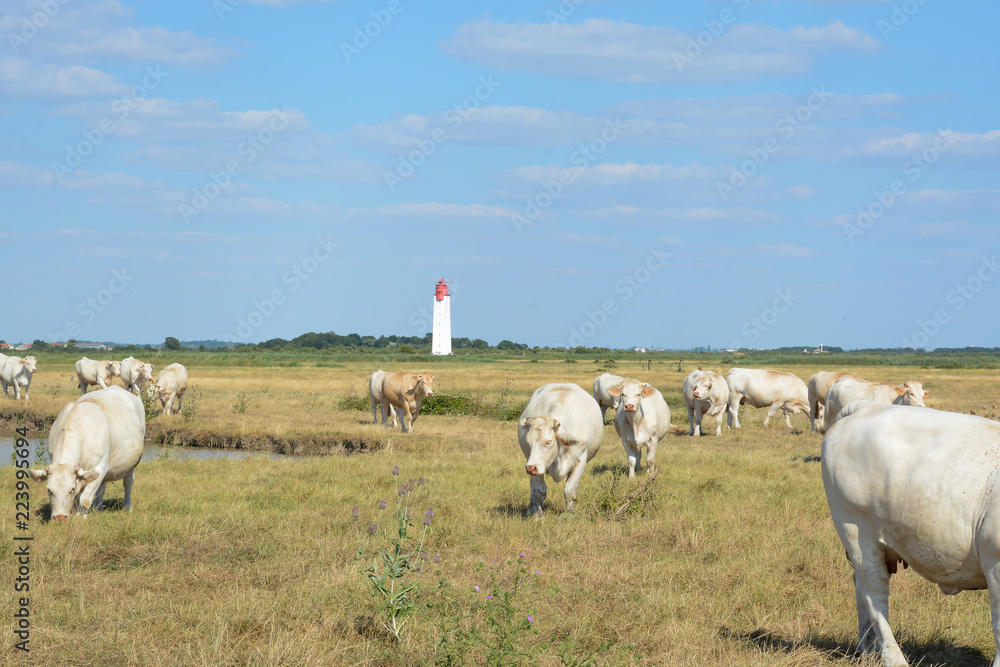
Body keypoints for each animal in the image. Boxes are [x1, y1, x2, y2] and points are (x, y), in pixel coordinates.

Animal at [27, 386, 145, 521]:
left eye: (71, 489)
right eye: (49, 490)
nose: (60, 517)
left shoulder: (100, 467)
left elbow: (84, 499)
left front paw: (80, 517)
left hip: (131, 464)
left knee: (128, 483)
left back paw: (127, 506)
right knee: (102, 488)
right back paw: (98, 509)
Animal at [518, 383, 604, 514]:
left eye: (548, 442)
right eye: (528, 442)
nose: (531, 468)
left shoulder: (580, 461)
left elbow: (570, 490)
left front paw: (568, 513)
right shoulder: (534, 463)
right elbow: (538, 490)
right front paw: (537, 513)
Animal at [822, 401, 1000, 667]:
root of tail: (864, 408)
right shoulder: (995, 563)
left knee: (861, 587)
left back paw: (869, 650)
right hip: (855, 529)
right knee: (874, 593)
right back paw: (893, 658)